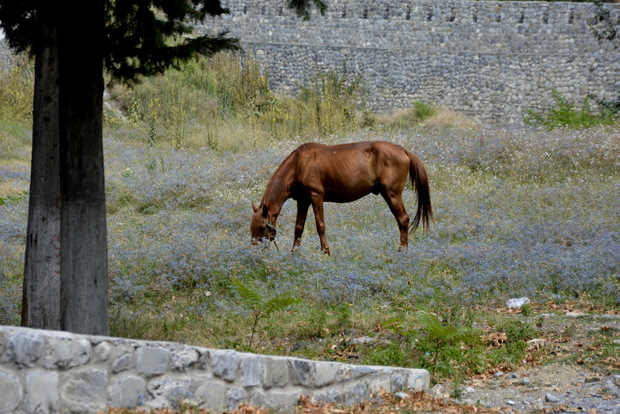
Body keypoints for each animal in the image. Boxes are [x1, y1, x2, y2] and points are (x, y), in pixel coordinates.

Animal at [249, 141, 434, 254]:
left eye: (262, 228)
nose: (253, 250)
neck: (299, 164)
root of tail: (403, 150)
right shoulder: (303, 200)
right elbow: (298, 228)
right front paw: (295, 253)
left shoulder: (316, 196)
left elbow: (320, 226)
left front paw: (325, 252)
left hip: (392, 194)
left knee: (403, 219)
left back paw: (402, 251)